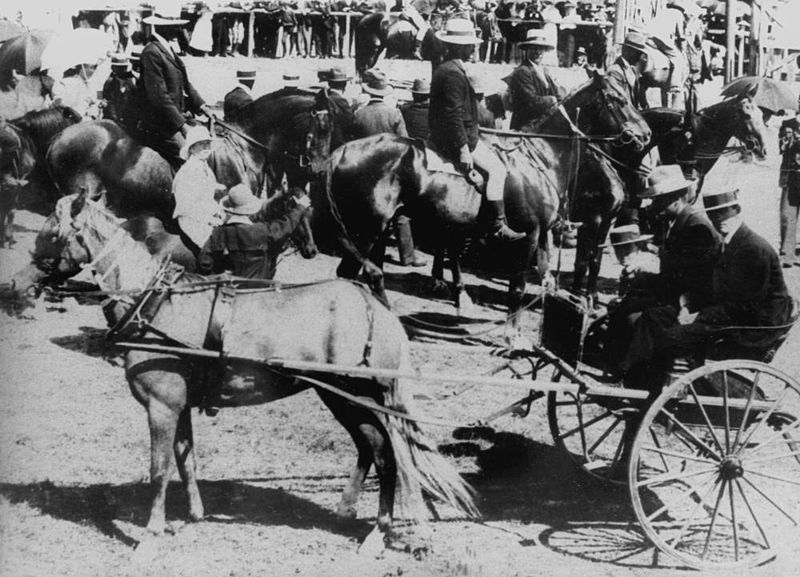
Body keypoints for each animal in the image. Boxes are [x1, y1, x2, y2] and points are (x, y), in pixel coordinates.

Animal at [54, 197, 476, 548]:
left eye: (51, 228)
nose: (35, 277)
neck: (155, 301)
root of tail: (379, 311)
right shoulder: (180, 404)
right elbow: (185, 458)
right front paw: (193, 515)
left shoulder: (161, 405)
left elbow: (159, 468)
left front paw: (152, 532)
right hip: (341, 398)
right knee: (371, 449)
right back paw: (358, 516)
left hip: (355, 397)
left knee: (387, 455)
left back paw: (378, 531)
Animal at [314, 72, 648, 332]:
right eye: (617, 100)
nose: (645, 134)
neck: (540, 157)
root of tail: (341, 152)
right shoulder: (533, 233)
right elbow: (519, 286)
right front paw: (514, 334)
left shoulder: (549, 233)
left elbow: (550, 274)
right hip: (366, 230)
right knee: (359, 273)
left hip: (379, 230)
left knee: (368, 274)